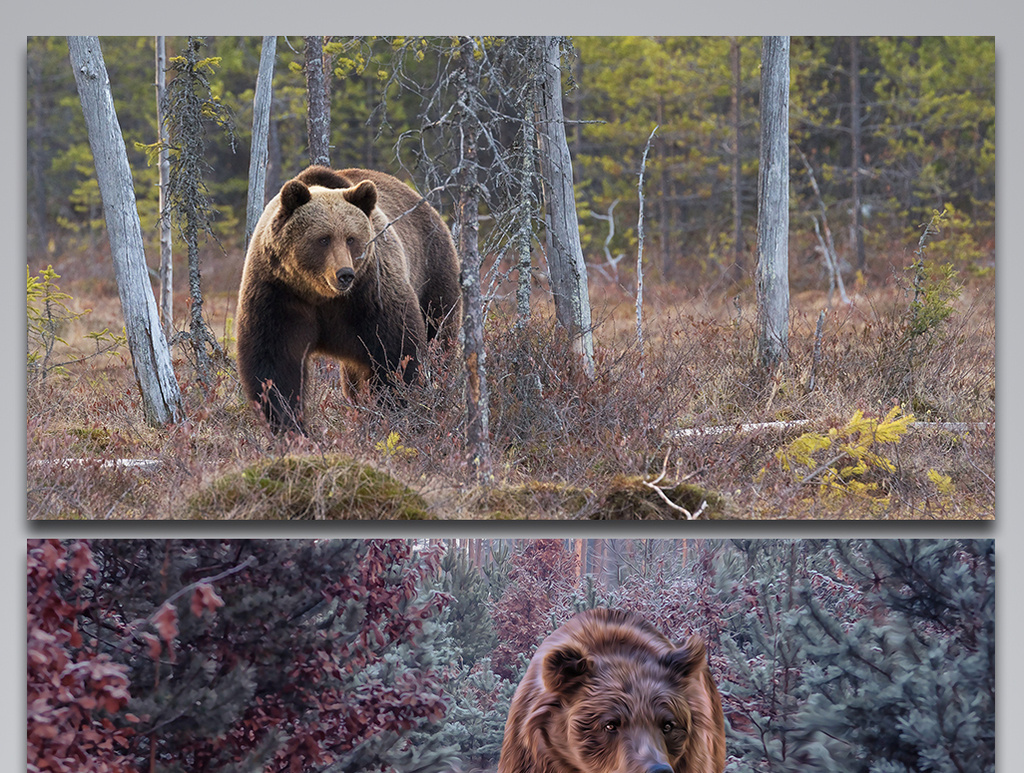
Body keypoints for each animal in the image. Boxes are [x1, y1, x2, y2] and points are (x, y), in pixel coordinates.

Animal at [235, 165, 460, 432]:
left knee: (439, 336)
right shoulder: (278, 292)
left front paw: (391, 412)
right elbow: (274, 363)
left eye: (351, 238)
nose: (345, 274)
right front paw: (289, 425)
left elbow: (396, 353)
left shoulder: (371, 293)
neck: (320, 294)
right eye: (323, 238)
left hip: (432, 271)